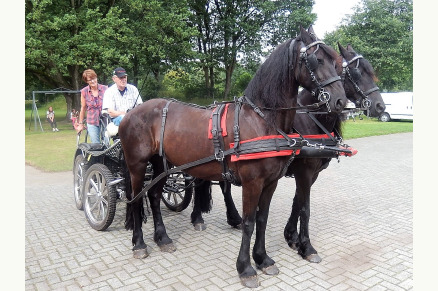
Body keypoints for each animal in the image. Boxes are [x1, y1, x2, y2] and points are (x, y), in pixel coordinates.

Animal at [119, 26, 346, 288]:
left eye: (337, 62)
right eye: (317, 60)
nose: (340, 100)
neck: (261, 120)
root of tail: (131, 112)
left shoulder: (271, 182)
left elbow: (262, 218)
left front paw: (263, 259)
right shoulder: (253, 182)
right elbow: (248, 222)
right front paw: (246, 268)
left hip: (161, 164)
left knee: (154, 196)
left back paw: (162, 238)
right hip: (137, 165)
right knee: (136, 200)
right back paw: (139, 243)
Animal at [188, 32, 384, 264]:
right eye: (356, 72)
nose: (380, 106)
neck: (309, 121)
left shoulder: (310, 174)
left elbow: (297, 203)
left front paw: (292, 237)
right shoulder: (304, 171)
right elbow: (304, 208)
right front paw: (306, 246)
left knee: (222, 185)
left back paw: (232, 218)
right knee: (199, 181)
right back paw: (198, 218)